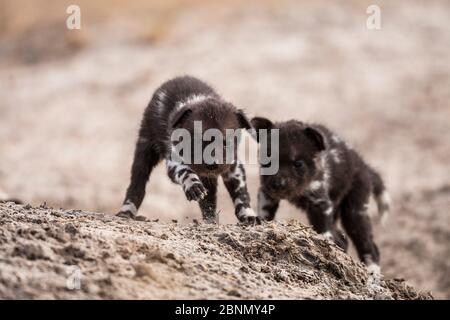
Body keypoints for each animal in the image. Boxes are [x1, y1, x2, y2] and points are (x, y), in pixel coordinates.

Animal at [116, 76, 258, 224]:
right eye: (197, 140)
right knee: (136, 186)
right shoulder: (174, 161)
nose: (212, 164)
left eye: (227, 142)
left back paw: (210, 221)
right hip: (144, 151)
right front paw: (193, 186)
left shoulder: (234, 167)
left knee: (209, 201)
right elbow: (186, 172)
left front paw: (248, 215)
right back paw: (126, 212)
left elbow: (241, 194)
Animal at [251, 117, 388, 276]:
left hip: (354, 212)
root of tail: (364, 165)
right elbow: (265, 214)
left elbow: (324, 231)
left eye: (298, 164)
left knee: (368, 245)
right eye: (268, 161)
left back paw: (373, 272)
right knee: (343, 240)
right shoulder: (267, 194)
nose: (278, 184)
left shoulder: (319, 203)